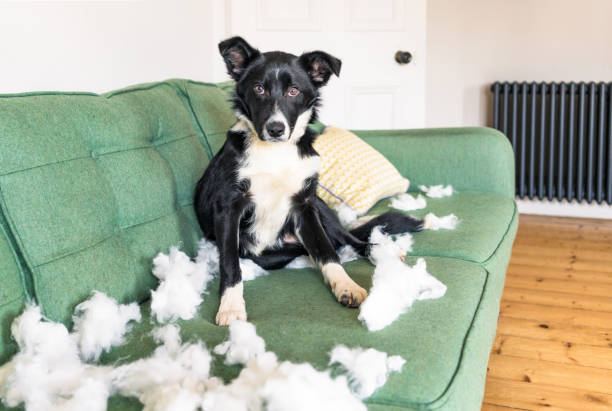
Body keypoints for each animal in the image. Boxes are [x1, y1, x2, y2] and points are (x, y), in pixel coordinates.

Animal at [194, 37, 424, 326]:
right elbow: (230, 263)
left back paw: (383, 252)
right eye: (259, 88)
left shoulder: (304, 206)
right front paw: (231, 306)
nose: (276, 129)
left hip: (320, 207)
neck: (276, 153)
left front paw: (345, 286)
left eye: (293, 91)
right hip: (271, 254)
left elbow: (327, 252)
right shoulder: (228, 208)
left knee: (349, 241)